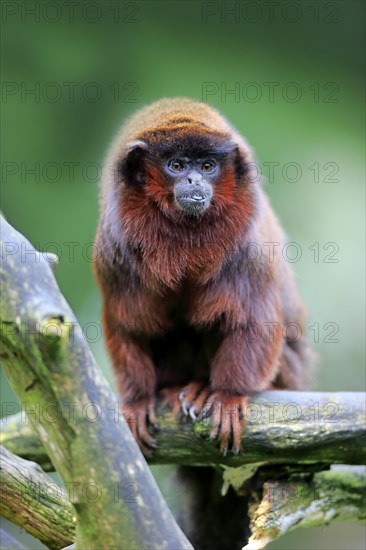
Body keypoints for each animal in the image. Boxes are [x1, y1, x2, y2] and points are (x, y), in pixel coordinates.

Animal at [94, 98, 312, 548]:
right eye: (176, 165)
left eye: (209, 166)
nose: (194, 178)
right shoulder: (115, 250)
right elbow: (128, 326)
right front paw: (138, 400)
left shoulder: (248, 247)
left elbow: (254, 320)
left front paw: (227, 395)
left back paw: (202, 389)